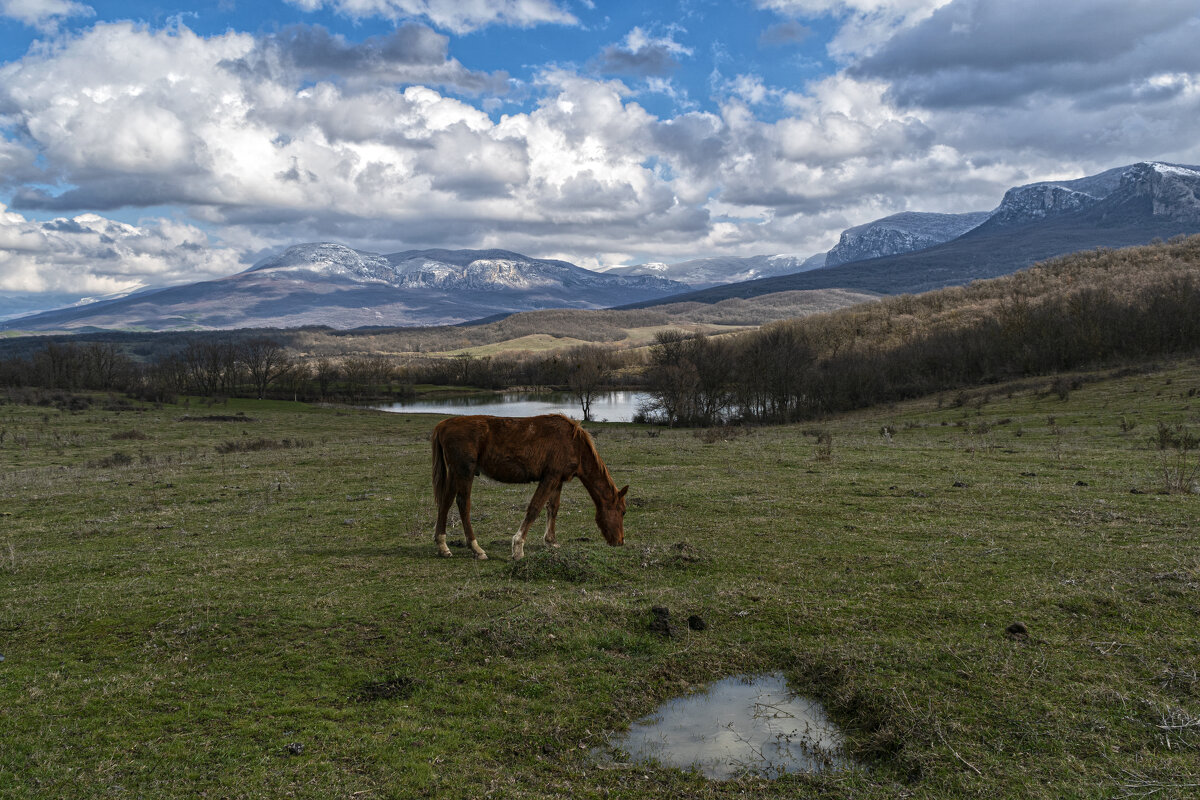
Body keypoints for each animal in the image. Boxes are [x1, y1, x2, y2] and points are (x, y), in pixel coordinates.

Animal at [429, 417, 628, 561]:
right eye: (623, 511)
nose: (620, 541)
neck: (573, 443)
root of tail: (442, 425)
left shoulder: (558, 480)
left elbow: (553, 508)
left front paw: (551, 541)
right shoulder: (549, 478)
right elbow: (535, 508)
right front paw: (518, 548)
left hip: (455, 473)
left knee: (445, 503)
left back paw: (443, 546)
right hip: (464, 472)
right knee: (463, 504)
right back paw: (476, 549)